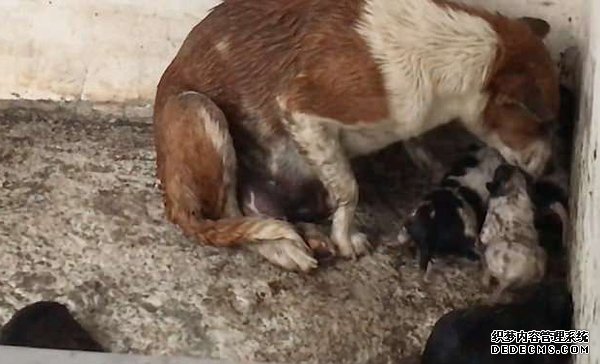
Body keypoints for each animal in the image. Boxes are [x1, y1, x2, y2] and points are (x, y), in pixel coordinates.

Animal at [152, 0, 560, 270]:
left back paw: (309, 236)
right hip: (199, 110)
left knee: (262, 211)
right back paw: (283, 248)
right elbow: (349, 191)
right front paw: (346, 241)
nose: (547, 170)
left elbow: (415, 145)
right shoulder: (302, 111)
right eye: (543, 125)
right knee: (231, 212)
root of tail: (173, 201)